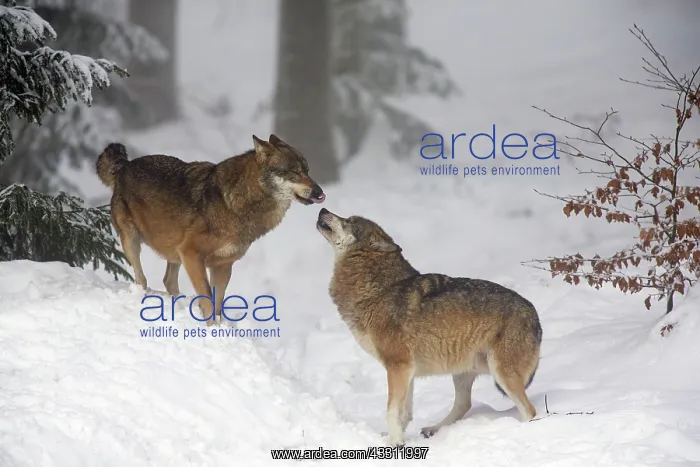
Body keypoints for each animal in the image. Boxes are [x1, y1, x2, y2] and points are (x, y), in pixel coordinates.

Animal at [96, 134, 325, 325]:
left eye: (307, 171)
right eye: (294, 172)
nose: (319, 192)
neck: (235, 204)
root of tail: (125, 165)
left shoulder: (223, 265)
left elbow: (218, 302)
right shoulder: (191, 253)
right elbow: (207, 297)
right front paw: (211, 328)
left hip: (174, 251)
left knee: (168, 281)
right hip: (133, 242)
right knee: (141, 278)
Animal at [316, 208, 542, 446]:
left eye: (349, 220)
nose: (322, 209)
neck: (381, 289)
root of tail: (534, 315)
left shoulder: (399, 366)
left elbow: (392, 411)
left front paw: (395, 444)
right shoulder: (406, 370)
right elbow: (404, 413)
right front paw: (396, 438)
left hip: (502, 374)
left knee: (529, 411)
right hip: (462, 373)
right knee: (464, 404)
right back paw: (434, 430)